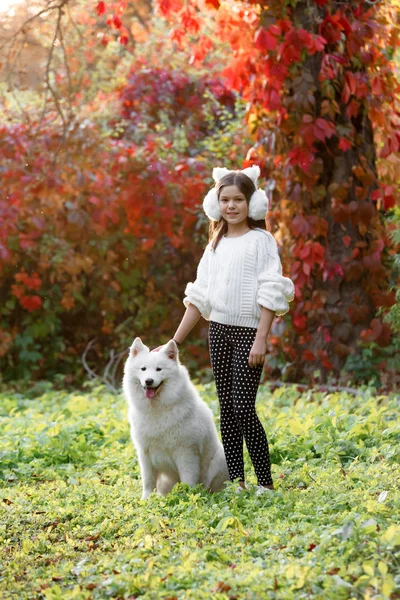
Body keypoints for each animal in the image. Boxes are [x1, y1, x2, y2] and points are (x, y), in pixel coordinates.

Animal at [122, 336, 228, 500]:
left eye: (159, 369)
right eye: (143, 369)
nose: (148, 381)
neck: (157, 408)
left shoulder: (186, 452)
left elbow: (188, 480)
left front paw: (188, 497)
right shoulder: (144, 453)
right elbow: (148, 481)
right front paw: (145, 500)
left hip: (221, 458)